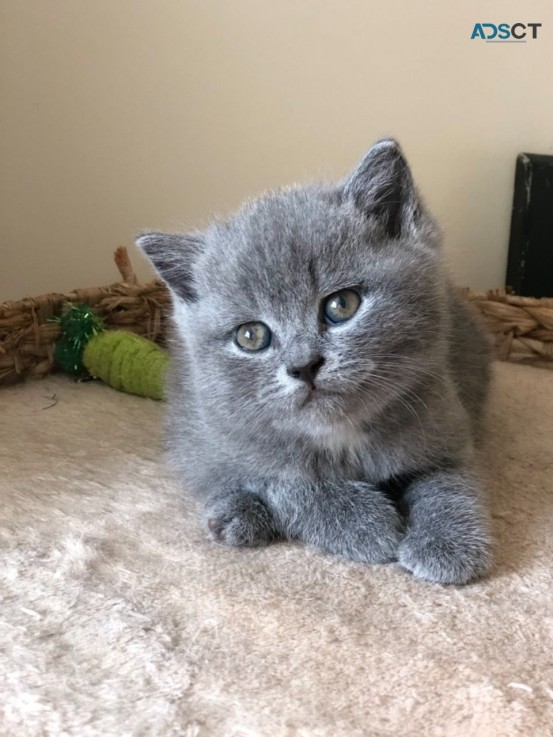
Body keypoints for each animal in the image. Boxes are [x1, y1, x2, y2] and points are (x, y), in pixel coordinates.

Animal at [139, 138, 492, 584]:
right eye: (251, 336)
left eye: (342, 305)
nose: (304, 365)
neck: (342, 437)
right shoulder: (207, 439)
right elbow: (284, 479)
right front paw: (362, 522)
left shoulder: (446, 419)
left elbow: (449, 480)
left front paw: (447, 542)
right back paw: (236, 516)